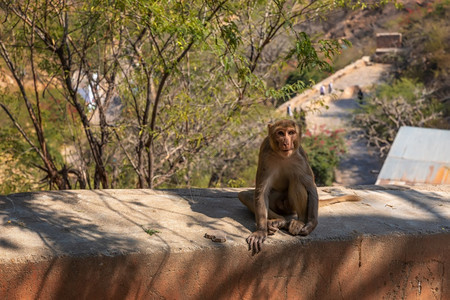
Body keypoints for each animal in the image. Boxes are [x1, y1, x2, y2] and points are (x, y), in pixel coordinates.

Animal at [237, 118, 360, 254]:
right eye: (280, 133)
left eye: (291, 132)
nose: (286, 142)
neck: (283, 156)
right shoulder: (265, 153)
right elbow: (261, 191)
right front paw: (261, 231)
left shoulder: (300, 157)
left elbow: (310, 186)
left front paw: (311, 223)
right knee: (245, 195)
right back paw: (279, 222)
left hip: (290, 206)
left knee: (297, 181)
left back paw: (298, 222)